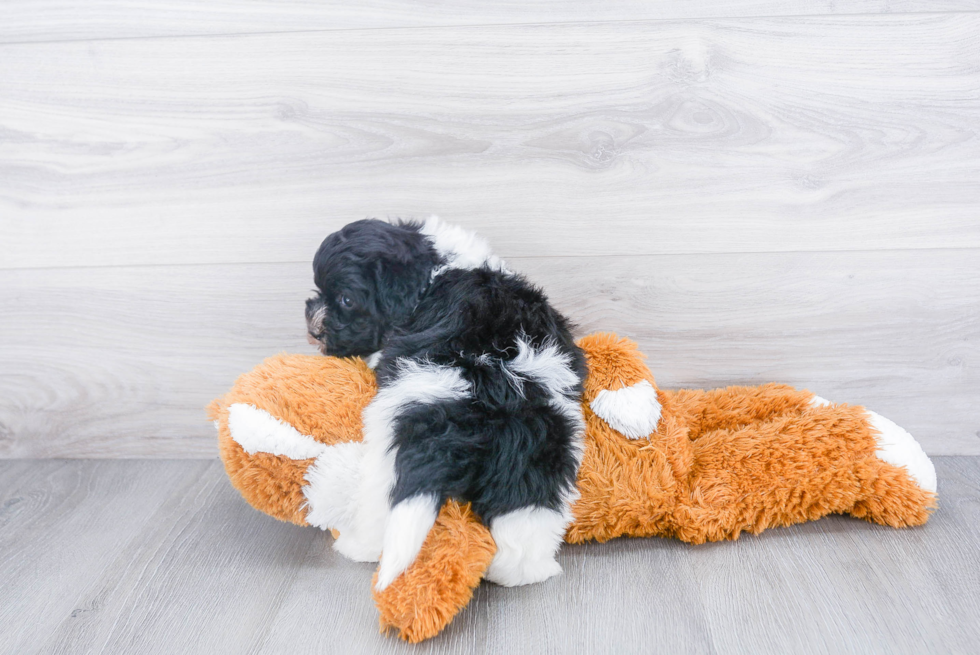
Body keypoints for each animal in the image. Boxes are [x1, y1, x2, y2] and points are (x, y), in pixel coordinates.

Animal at [302, 218, 584, 592]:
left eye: (346, 300)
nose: (312, 325)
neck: (435, 267)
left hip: (391, 436)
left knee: (381, 502)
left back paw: (358, 546)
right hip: (537, 445)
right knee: (527, 508)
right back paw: (520, 572)